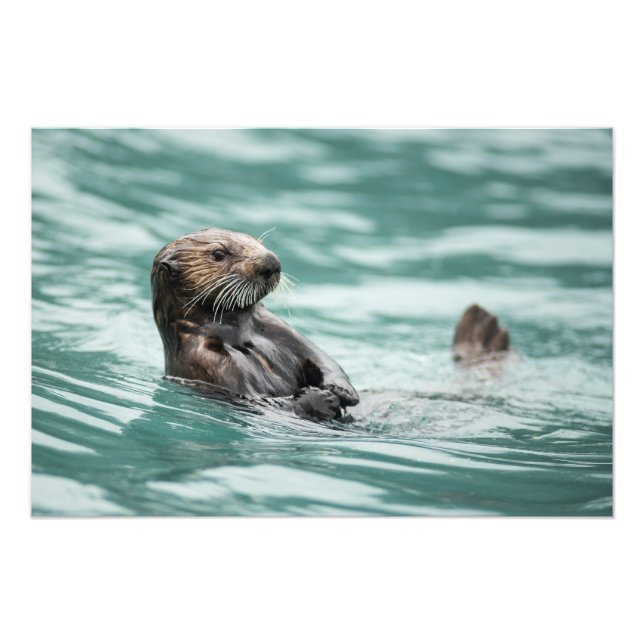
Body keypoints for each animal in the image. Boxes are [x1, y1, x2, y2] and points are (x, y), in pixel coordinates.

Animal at [151, 228, 510, 422]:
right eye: (218, 253)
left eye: (256, 241)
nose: (271, 261)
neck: (239, 334)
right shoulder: (208, 362)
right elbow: (262, 401)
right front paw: (321, 400)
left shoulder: (277, 327)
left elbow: (322, 358)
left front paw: (341, 390)